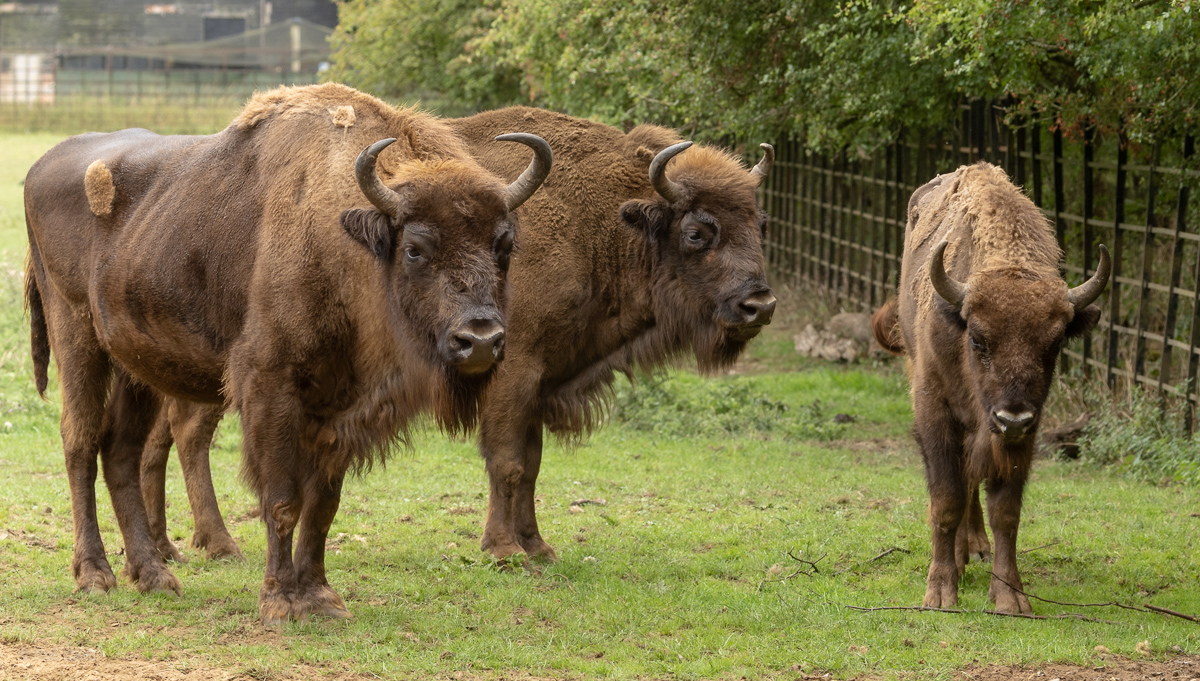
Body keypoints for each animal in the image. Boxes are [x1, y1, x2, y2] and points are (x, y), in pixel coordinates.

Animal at [24, 83, 551, 623]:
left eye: (505, 245)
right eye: (415, 248)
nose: (480, 340)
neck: (343, 241)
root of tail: (41, 166)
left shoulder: (339, 408)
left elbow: (322, 506)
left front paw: (320, 598)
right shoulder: (269, 387)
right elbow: (281, 500)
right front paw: (279, 601)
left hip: (138, 366)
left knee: (120, 451)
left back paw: (154, 576)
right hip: (77, 339)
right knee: (80, 443)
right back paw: (95, 575)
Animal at [872, 162, 1110, 613]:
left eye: (1055, 343)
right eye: (978, 339)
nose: (1011, 417)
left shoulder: (1024, 434)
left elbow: (1006, 511)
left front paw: (1010, 597)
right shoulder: (936, 414)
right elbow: (946, 499)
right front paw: (940, 591)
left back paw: (975, 548)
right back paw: (961, 556)